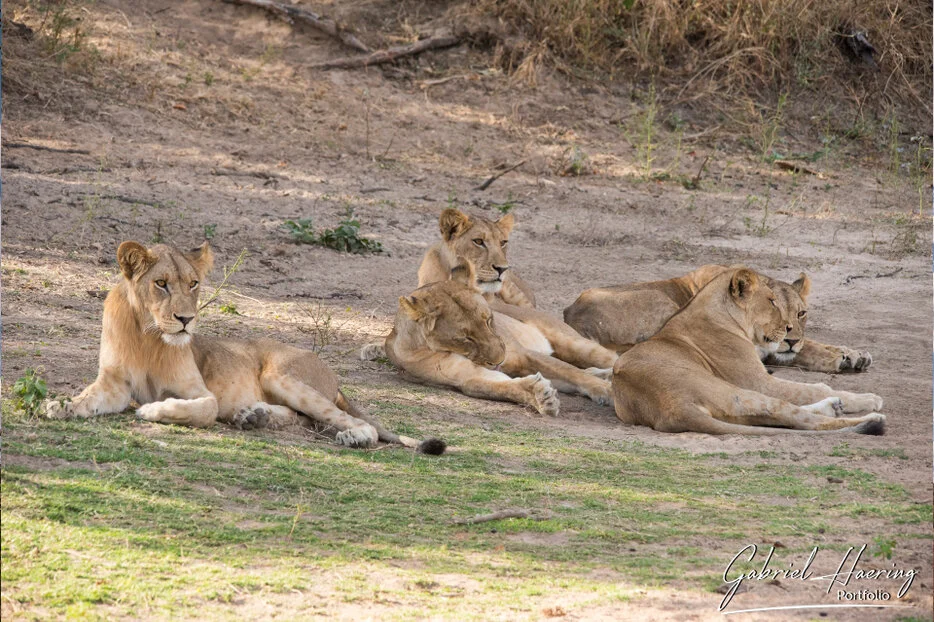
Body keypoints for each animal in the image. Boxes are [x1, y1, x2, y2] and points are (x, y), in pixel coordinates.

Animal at [45, 241, 445, 454]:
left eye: (193, 283)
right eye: (160, 283)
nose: (186, 319)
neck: (148, 334)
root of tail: (334, 378)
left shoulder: (201, 392)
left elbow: (200, 409)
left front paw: (152, 410)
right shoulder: (113, 383)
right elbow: (89, 398)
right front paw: (60, 406)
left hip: (280, 375)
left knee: (346, 421)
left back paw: (351, 436)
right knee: (298, 417)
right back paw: (252, 416)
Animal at [378, 263, 615, 416]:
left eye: (489, 320)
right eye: (465, 338)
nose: (500, 360)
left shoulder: (525, 355)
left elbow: (572, 372)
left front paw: (608, 390)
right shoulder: (466, 377)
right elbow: (501, 387)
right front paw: (539, 396)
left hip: (575, 343)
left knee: (606, 360)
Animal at [564, 264, 872, 373]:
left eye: (801, 313)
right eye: (773, 307)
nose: (791, 339)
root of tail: (571, 316)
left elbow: (812, 343)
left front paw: (853, 354)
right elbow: (804, 348)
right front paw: (840, 357)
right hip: (661, 302)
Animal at [612, 267, 886, 435]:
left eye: (801, 313)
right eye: (772, 301)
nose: (791, 336)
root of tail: (673, 409)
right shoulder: (758, 381)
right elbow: (814, 388)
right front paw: (868, 398)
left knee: (782, 416)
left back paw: (835, 406)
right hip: (739, 392)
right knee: (798, 417)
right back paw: (872, 420)